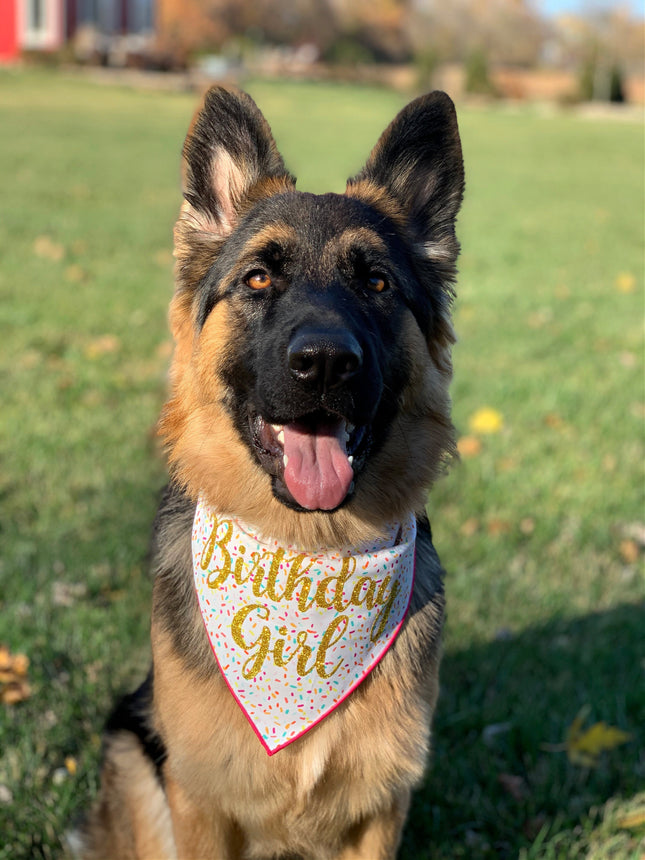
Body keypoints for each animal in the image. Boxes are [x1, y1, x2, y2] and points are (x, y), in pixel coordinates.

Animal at [80, 84, 462, 856]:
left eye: (377, 282)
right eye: (258, 277)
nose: (325, 362)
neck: (308, 550)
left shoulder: (382, 803)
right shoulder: (200, 798)